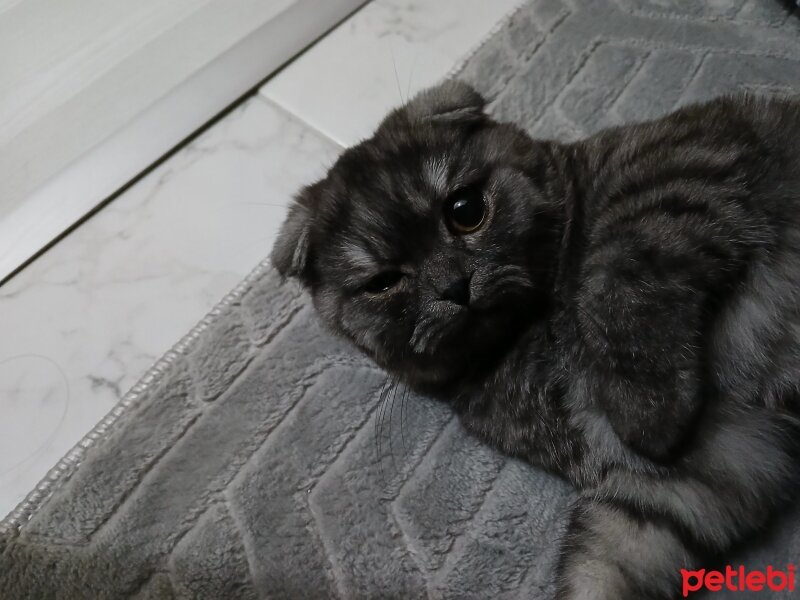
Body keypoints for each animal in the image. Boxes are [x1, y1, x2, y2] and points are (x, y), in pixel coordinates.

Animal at [270, 81, 800, 600]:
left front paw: (648, 413)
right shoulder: (708, 467)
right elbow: (601, 567)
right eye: (382, 283)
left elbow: (616, 276)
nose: (454, 287)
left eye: (466, 210)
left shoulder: (675, 172)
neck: (527, 339)